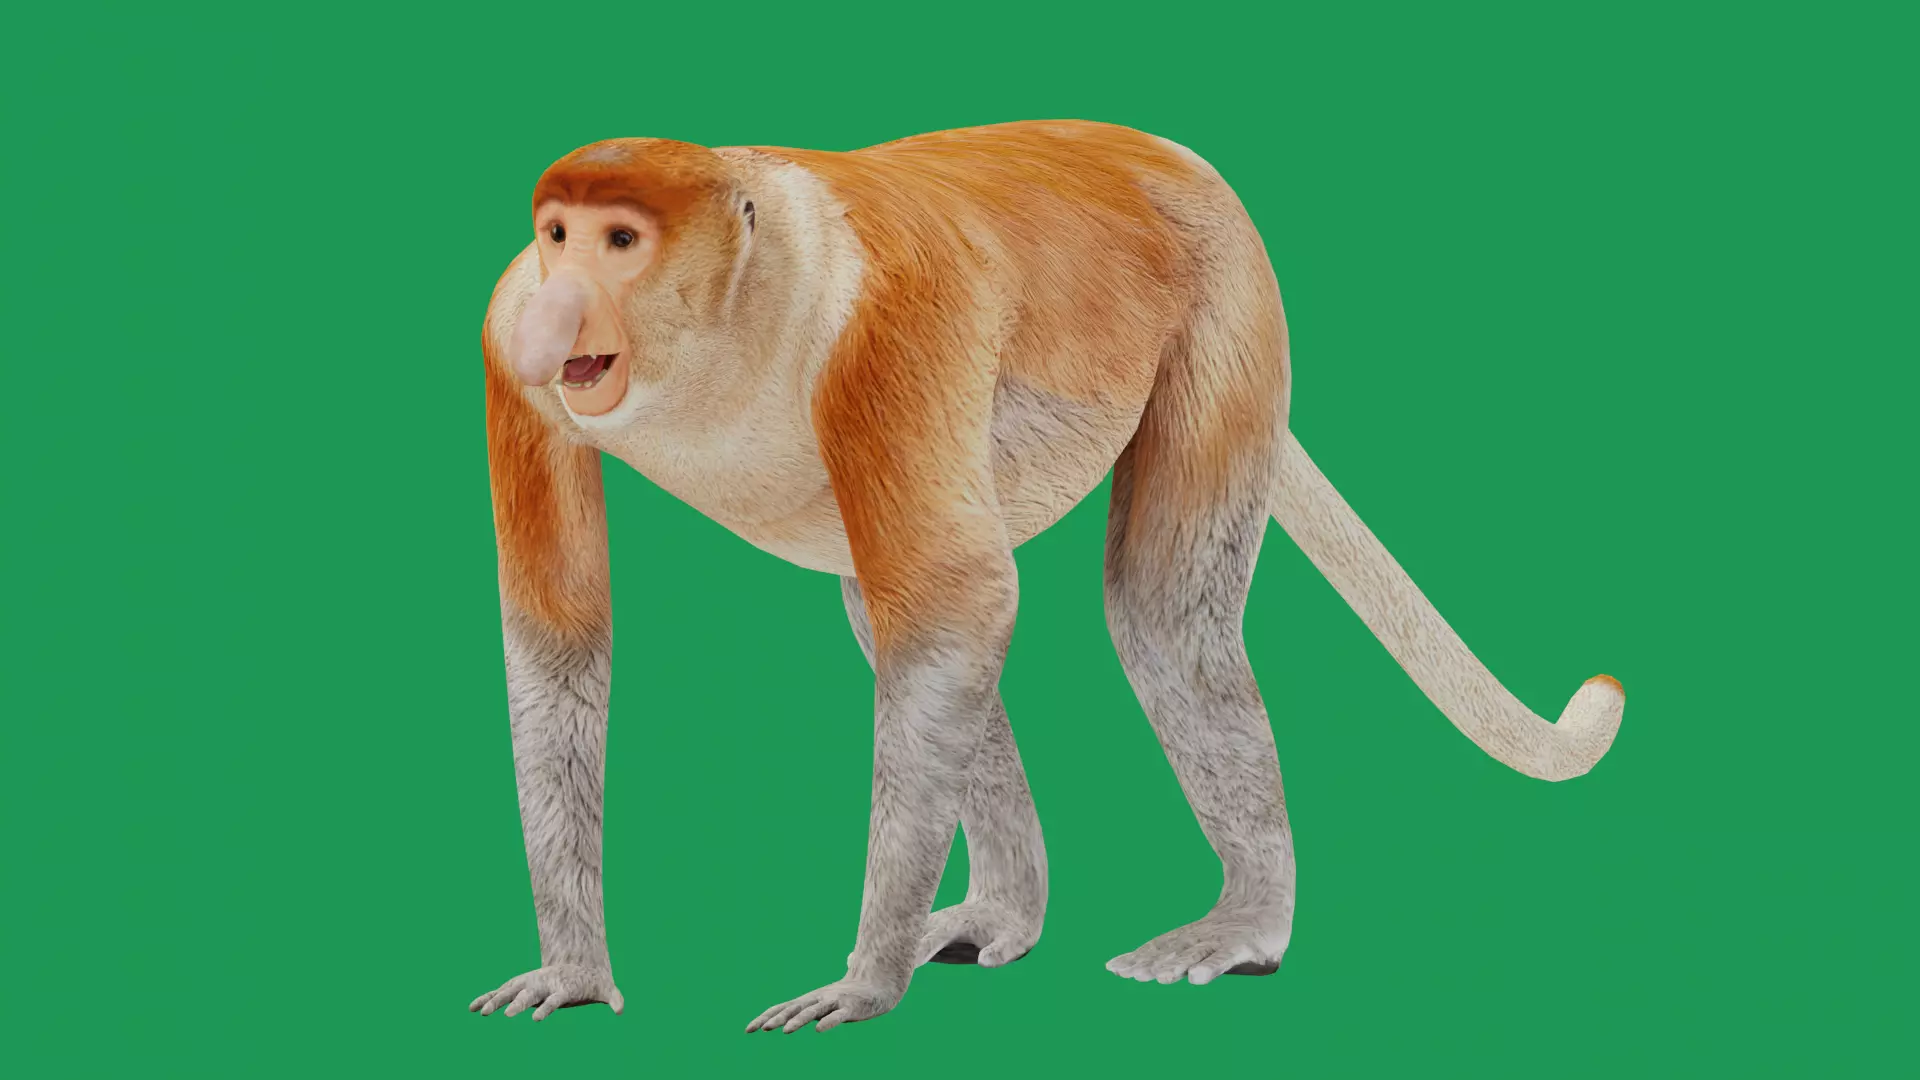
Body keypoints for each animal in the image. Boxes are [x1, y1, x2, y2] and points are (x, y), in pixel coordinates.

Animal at [465, 120, 1626, 1033]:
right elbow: (561, 639)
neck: (751, 293)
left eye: (622, 241)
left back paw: (1243, 925)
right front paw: (574, 973)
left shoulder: (888, 330)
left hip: (1230, 305)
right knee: (892, 618)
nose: (565, 305)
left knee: (1154, 619)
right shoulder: (505, 337)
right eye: (557, 235)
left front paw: (866, 982)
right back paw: (998, 913)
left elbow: (958, 605)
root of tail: (1160, 150)